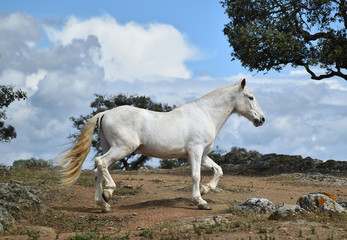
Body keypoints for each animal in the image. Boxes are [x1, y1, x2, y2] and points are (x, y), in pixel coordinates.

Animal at [58, 79, 266, 212]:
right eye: (250, 97)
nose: (261, 119)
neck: (205, 114)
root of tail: (105, 113)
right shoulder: (195, 151)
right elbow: (196, 176)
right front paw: (201, 201)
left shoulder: (203, 155)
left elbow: (219, 170)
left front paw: (206, 190)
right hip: (122, 149)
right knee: (100, 163)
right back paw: (109, 192)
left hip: (112, 149)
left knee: (97, 171)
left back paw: (104, 204)